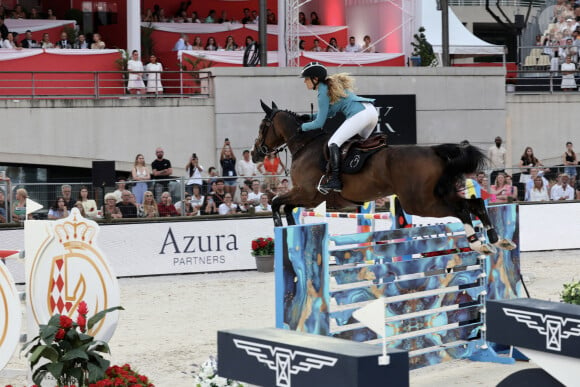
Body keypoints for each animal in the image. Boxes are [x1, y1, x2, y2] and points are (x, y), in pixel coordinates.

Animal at [251, 101, 510, 253]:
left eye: (262, 126)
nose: (255, 153)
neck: (305, 145)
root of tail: (435, 151)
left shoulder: (307, 194)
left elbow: (276, 204)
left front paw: (279, 229)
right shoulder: (309, 198)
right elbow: (285, 208)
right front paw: (292, 230)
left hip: (420, 202)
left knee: (461, 209)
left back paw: (478, 243)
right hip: (437, 195)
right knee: (475, 203)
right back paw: (496, 239)